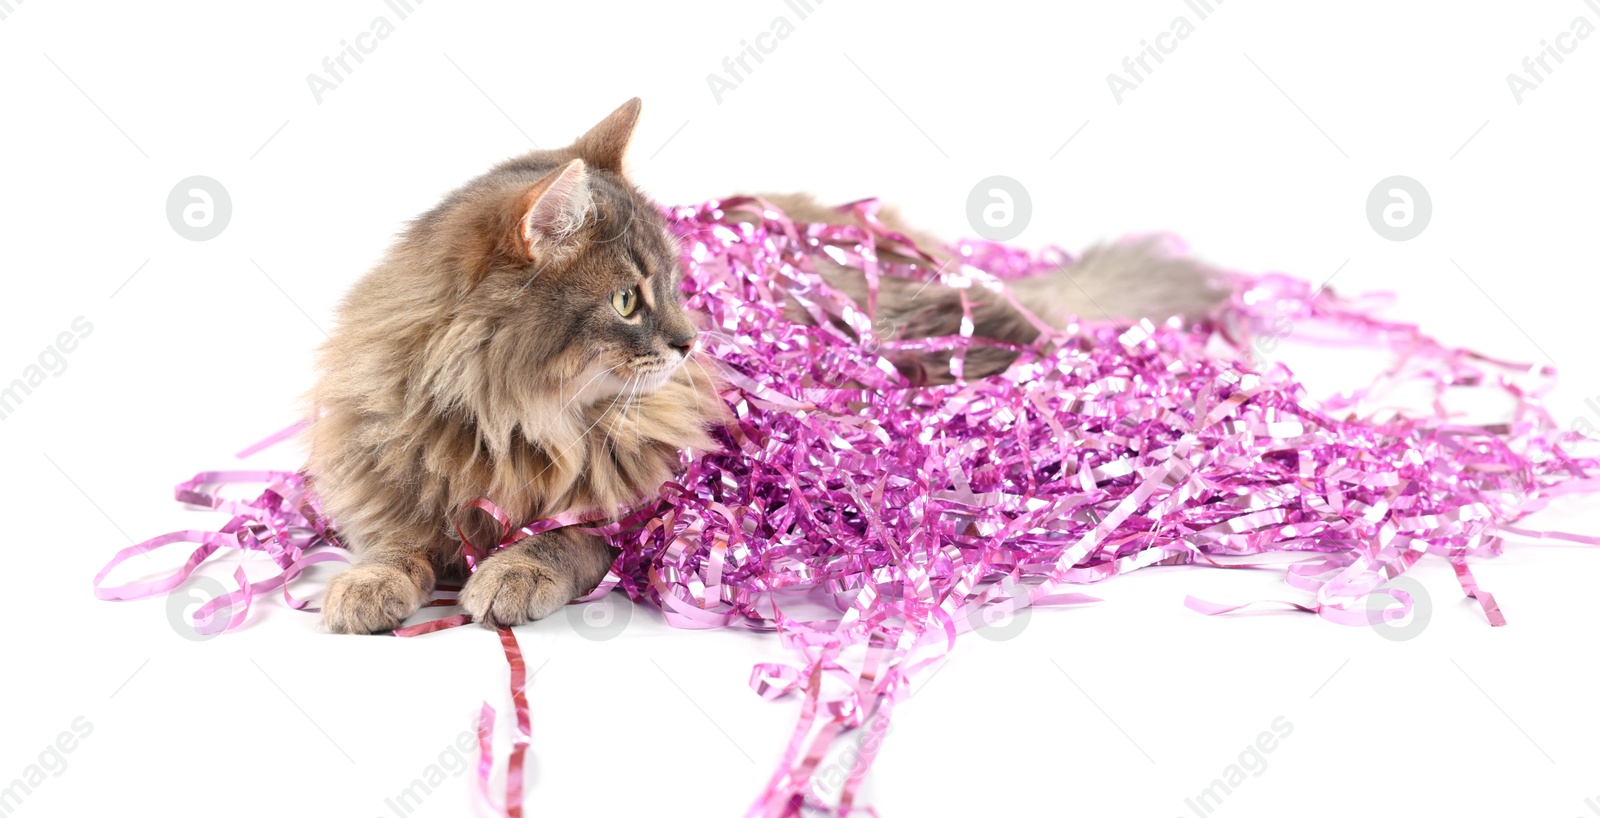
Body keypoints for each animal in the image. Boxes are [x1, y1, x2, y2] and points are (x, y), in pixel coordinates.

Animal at [305, 97, 1216, 633]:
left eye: (678, 283)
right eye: (628, 300)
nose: (690, 343)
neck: (510, 426)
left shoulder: (651, 513)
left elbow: (568, 539)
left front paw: (511, 572)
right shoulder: (396, 479)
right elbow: (394, 543)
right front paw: (365, 587)